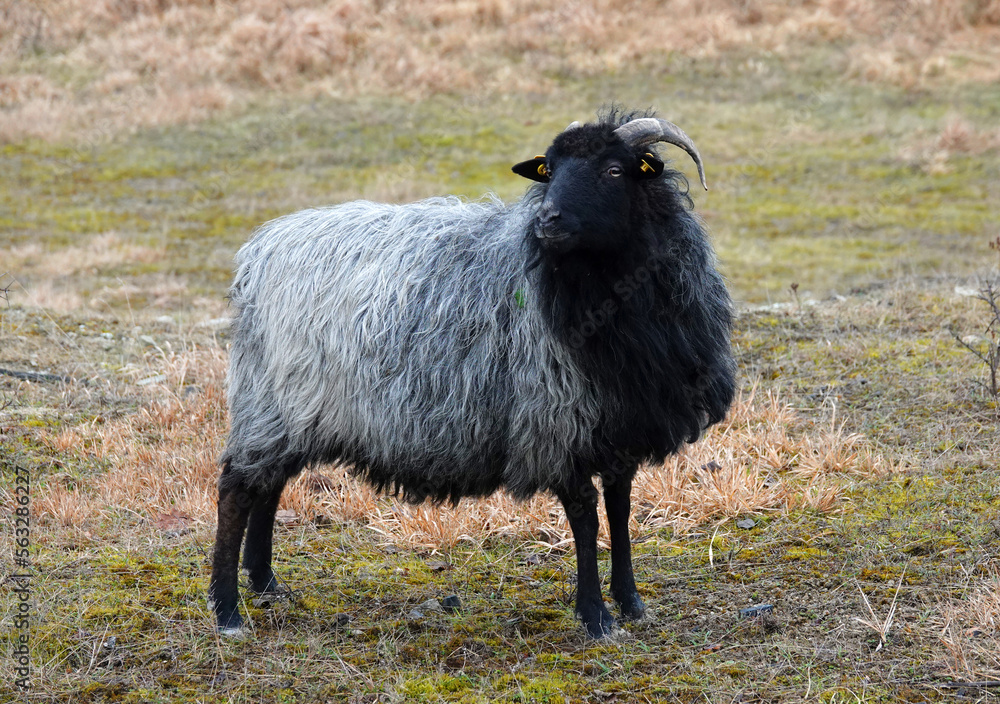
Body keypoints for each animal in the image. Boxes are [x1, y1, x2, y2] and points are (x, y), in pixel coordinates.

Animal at [209, 107, 736, 639]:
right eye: (550, 170)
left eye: (613, 170)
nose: (547, 220)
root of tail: (262, 248)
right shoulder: (552, 421)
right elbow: (586, 518)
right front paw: (595, 616)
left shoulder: (624, 423)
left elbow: (621, 509)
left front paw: (630, 602)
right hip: (272, 399)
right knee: (236, 488)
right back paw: (228, 609)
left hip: (292, 410)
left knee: (269, 485)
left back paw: (265, 582)